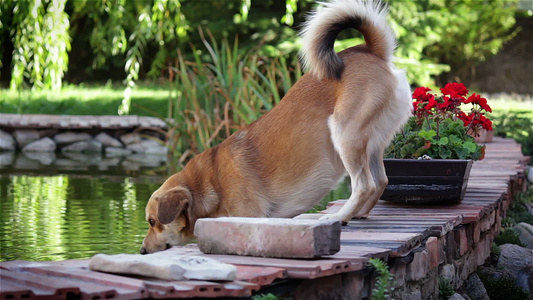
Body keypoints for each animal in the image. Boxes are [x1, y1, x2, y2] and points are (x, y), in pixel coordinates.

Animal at [140, 0, 412, 255]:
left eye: (152, 221)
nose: (141, 250)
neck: (210, 182)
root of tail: (371, 50)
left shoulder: (249, 216)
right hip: (372, 144)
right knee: (380, 180)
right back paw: (357, 214)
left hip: (345, 134)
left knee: (364, 185)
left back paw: (338, 216)